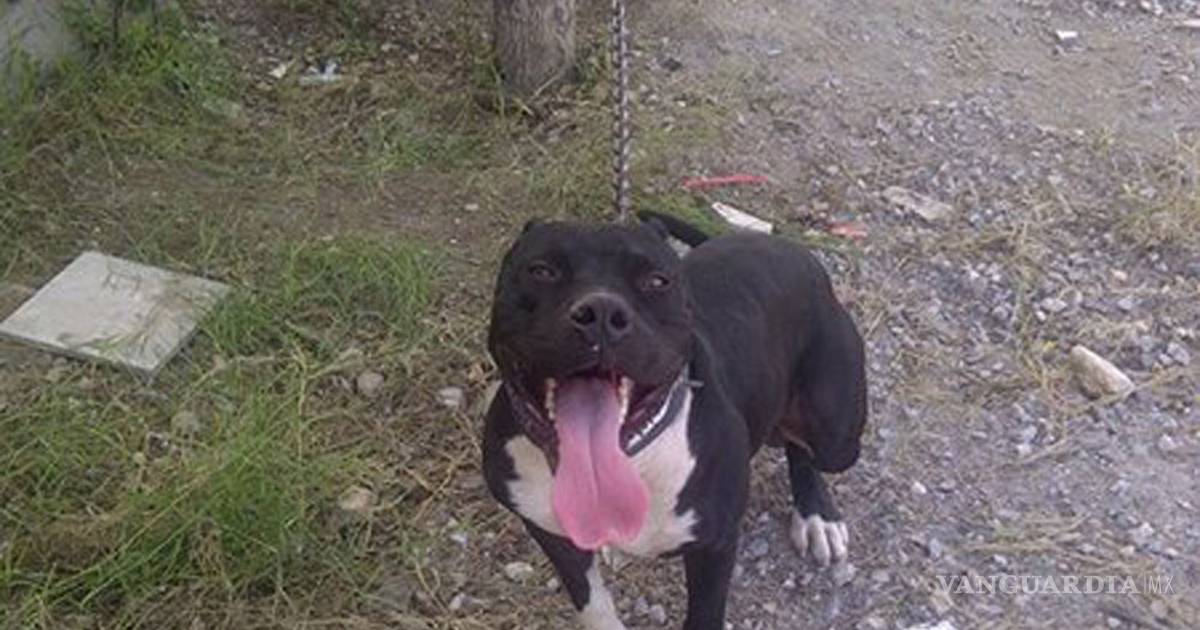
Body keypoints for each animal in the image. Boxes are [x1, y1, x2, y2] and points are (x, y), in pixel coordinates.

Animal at [482, 212, 867, 629]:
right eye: (541, 270)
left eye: (656, 281)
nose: (601, 312)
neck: (635, 459)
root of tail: (790, 248)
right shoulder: (550, 534)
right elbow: (593, 604)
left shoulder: (715, 546)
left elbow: (704, 616)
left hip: (837, 433)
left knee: (807, 448)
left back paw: (817, 516)